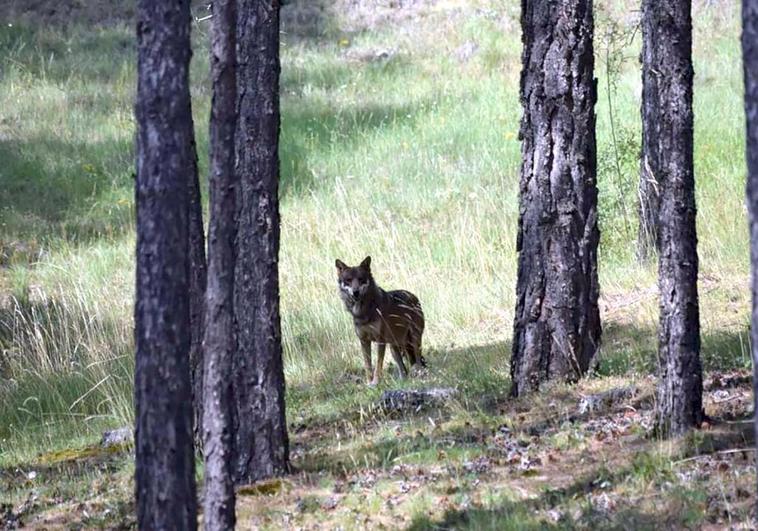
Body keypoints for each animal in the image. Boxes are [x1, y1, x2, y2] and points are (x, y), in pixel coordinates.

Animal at [338, 256, 428, 384]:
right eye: (348, 280)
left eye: (361, 279)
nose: (356, 292)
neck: (363, 311)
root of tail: (413, 296)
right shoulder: (364, 341)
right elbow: (368, 366)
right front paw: (369, 383)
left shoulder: (380, 341)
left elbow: (378, 365)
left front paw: (375, 382)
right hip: (394, 347)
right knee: (403, 368)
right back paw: (403, 380)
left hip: (414, 341)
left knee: (418, 359)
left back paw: (419, 373)